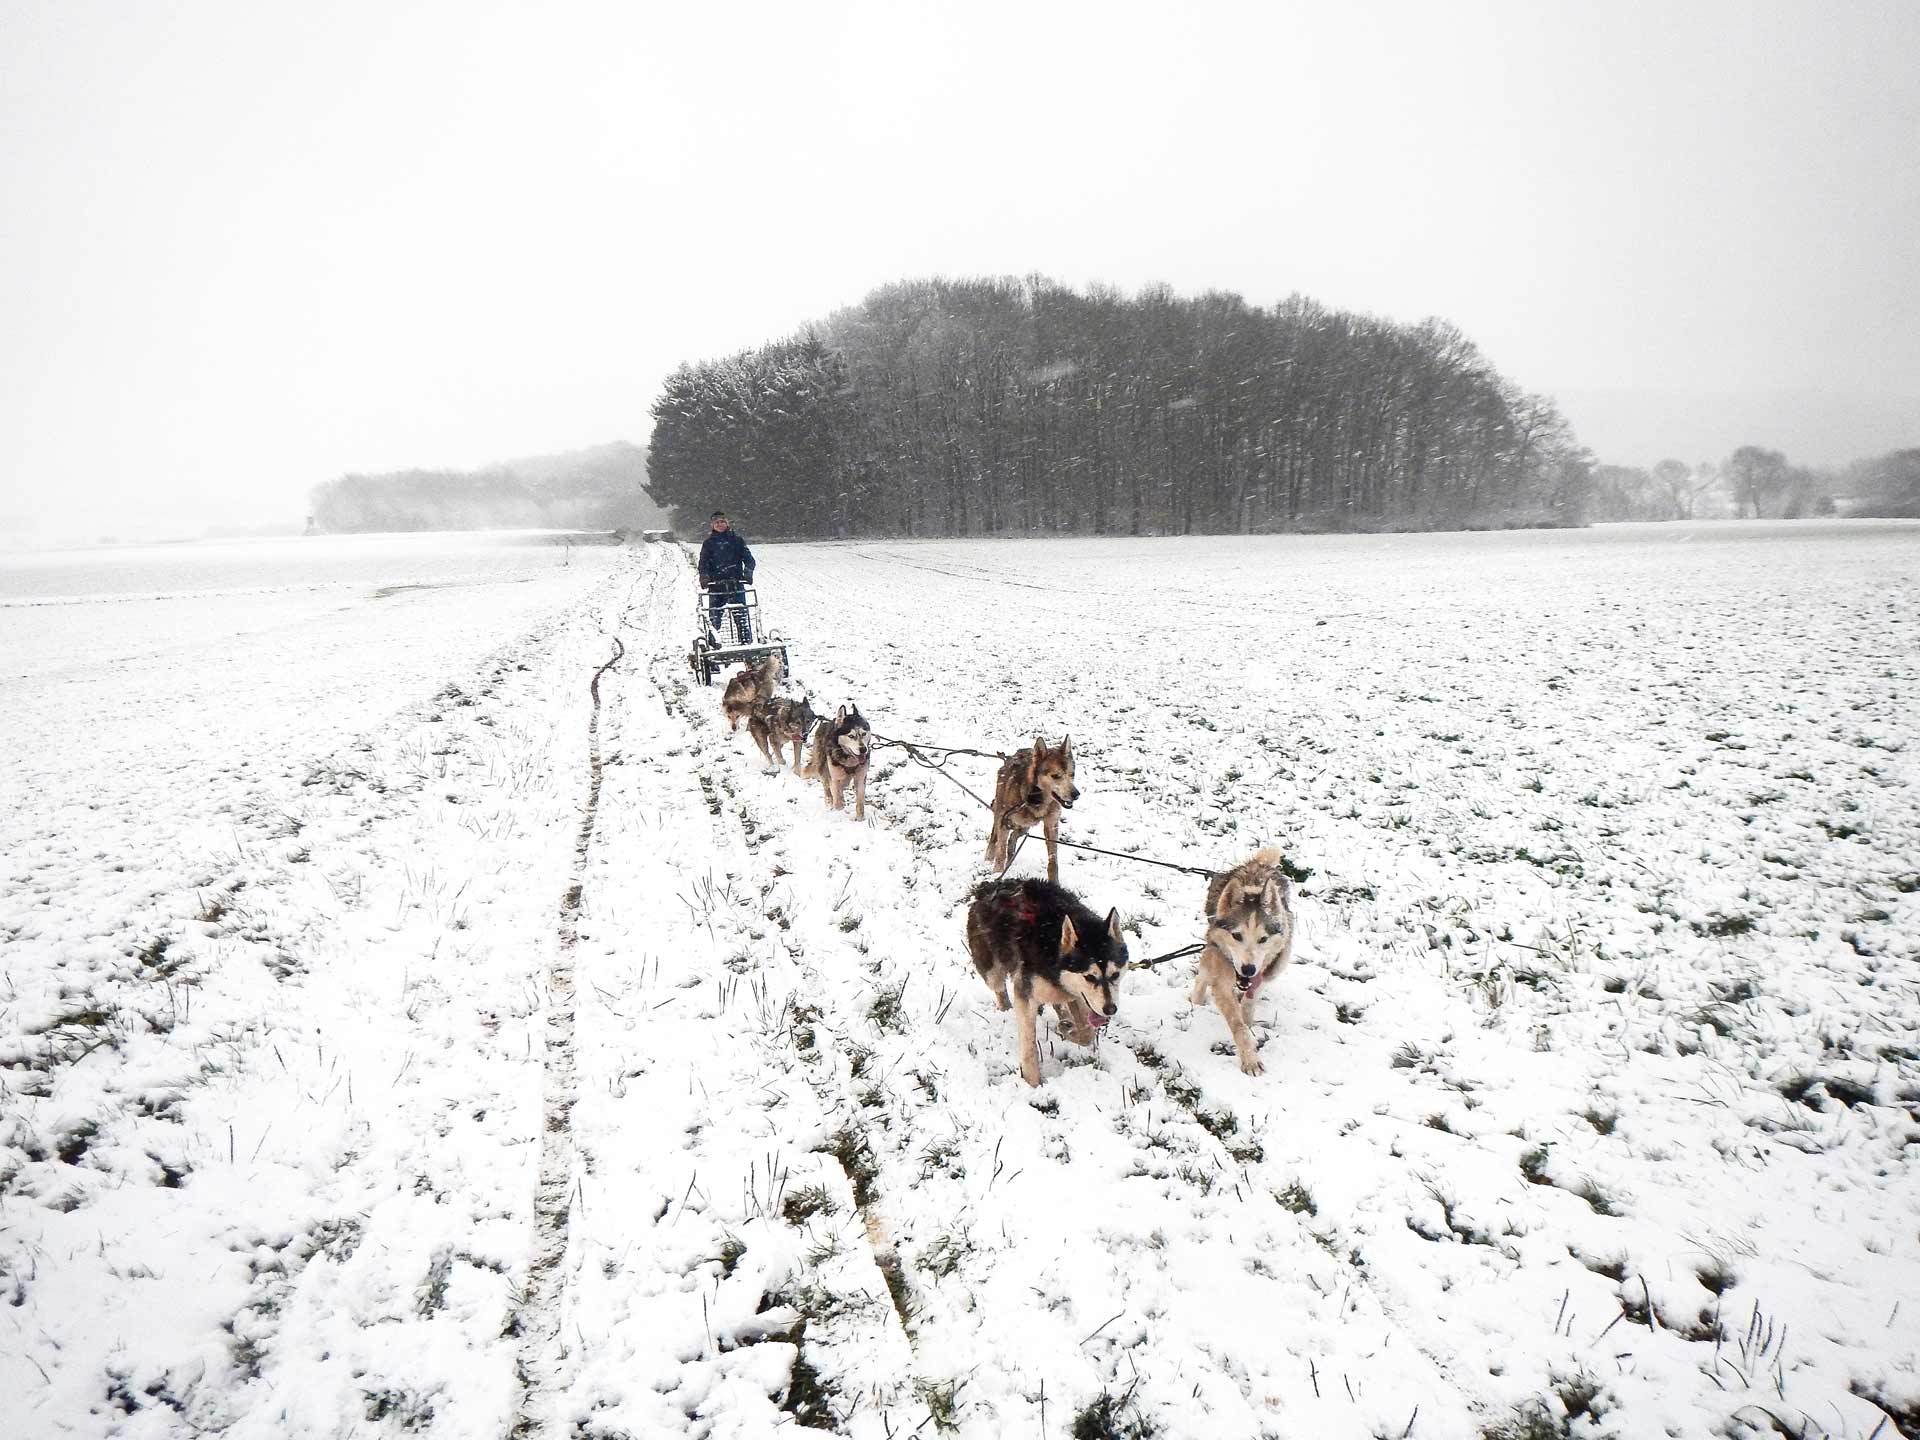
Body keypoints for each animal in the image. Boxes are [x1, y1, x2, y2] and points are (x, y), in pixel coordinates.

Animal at [967, 879, 1128, 1090]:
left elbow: (1087, 1033)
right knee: (1000, 990)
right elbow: (1029, 1047)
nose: (1110, 1009)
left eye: (1115, 974)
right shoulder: (1025, 994)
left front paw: (1068, 1029)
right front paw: (1032, 1083)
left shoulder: (1078, 996)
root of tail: (989, 886)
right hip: (992, 971)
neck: (1053, 949)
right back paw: (1006, 1008)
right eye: (1090, 977)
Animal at [990, 737, 1082, 887]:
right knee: (995, 836)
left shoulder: (1051, 825)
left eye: (1072, 774)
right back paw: (989, 857)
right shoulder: (1005, 819)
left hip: (1025, 826)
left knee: (1013, 838)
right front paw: (996, 874)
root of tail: (1009, 758)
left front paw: (1054, 883)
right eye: (1056, 776)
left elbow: (1053, 860)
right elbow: (1000, 852)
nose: (1076, 794)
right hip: (1002, 814)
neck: (1036, 798)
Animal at [1190, 852, 1297, 1075]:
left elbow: (1248, 1007)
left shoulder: (1263, 976)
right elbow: (1237, 1024)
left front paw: (1249, 1027)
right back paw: (1196, 1001)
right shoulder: (1220, 976)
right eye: (1236, 935)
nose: (1249, 969)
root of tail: (1257, 864)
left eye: (1263, 939)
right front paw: (1250, 1059)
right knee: (1202, 974)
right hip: (1210, 950)